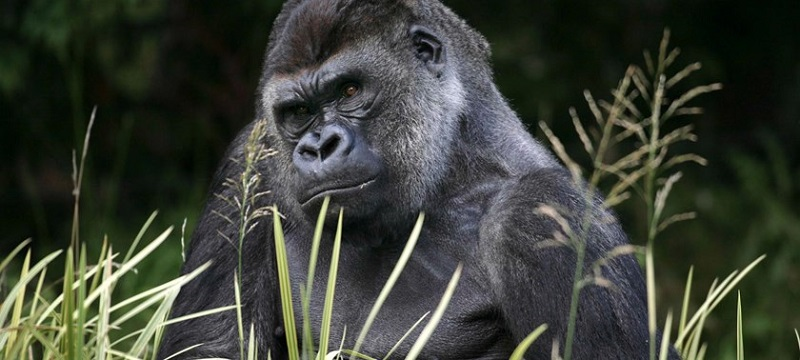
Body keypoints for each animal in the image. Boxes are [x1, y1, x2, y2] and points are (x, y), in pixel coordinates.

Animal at [156, 0, 676, 360]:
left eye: (350, 90)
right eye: (298, 113)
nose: (318, 147)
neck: (449, 173)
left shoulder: (547, 211)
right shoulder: (252, 163)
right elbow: (210, 348)